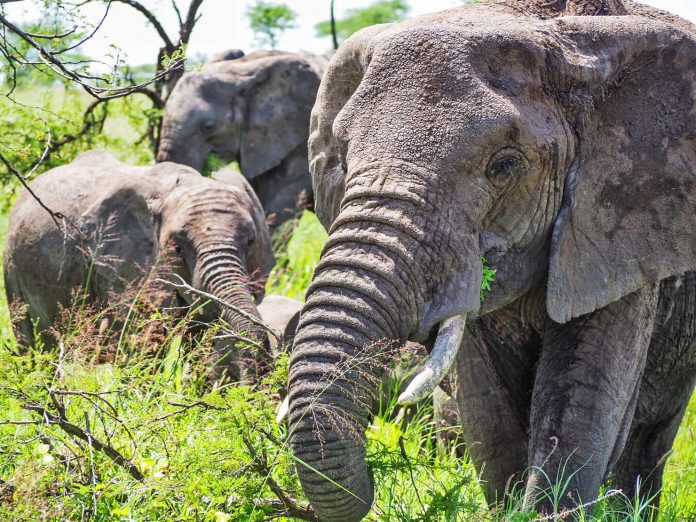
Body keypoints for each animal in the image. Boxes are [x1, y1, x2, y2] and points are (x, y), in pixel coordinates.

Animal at [6, 150, 278, 378]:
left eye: (251, 241)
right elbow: (143, 342)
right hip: (11, 267)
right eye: (177, 248)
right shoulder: (123, 265)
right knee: (31, 342)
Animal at [286, 2, 696, 516]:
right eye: (342, 159)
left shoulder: (615, 222)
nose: (374, 475)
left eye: (504, 165)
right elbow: (484, 404)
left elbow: (581, 398)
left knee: (651, 434)